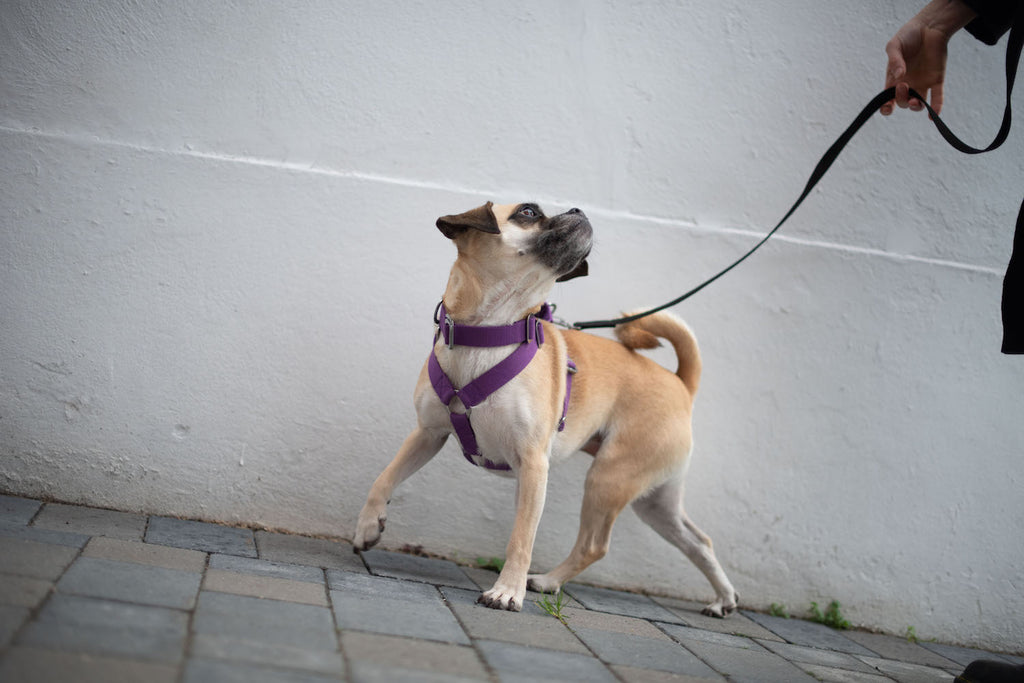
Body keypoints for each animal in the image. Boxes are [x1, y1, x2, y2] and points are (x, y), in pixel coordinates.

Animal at [352, 200, 737, 618]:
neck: (490, 333)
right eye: (528, 212)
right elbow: (384, 478)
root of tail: (681, 383)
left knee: (594, 545)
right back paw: (723, 598)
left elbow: (521, 539)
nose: (578, 209)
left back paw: (548, 581)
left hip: (608, 479)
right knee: (699, 542)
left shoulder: (534, 465)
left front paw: (507, 591)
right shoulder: (427, 434)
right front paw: (368, 525)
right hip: (655, 502)